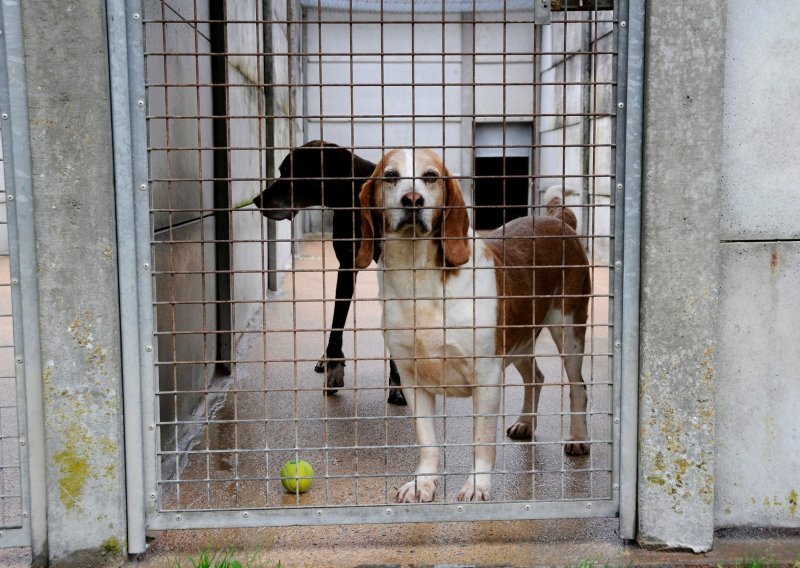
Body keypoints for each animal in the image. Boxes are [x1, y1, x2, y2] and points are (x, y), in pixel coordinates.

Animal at [253, 140, 406, 406]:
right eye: (281, 170)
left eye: (293, 172)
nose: (256, 199)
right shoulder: (346, 264)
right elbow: (336, 323)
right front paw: (333, 367)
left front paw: (398, 381)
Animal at [354, 150, 588, 502]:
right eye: (391, 176)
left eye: (431, 176)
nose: (413, 200)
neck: (418, 277)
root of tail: (558, 219)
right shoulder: (412, 379)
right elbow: (427, 441)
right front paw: (423, 482)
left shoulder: (487, 375)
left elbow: (481, 439)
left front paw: (477, 485)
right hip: (517, 341)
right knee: (536, 377)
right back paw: (526, 423)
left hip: (569, 332)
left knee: (578, 389)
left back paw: (577, 438)